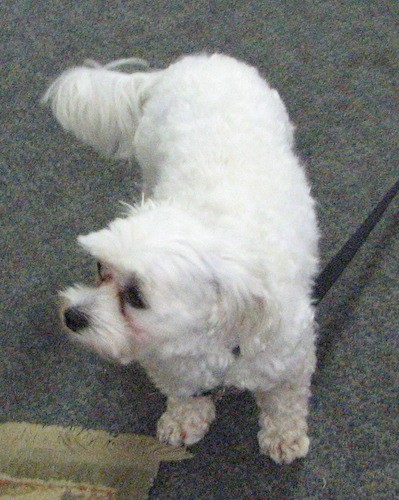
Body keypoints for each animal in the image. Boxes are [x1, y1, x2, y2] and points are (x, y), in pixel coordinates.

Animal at [43, 52, 318, 462]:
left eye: (135, 296)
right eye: (99, 268)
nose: (72, 316)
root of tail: (188, 64)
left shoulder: (291, 359)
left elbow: (284, 400)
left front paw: (284, 435)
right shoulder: (166, 362)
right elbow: (183, 391)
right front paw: (184, 419)